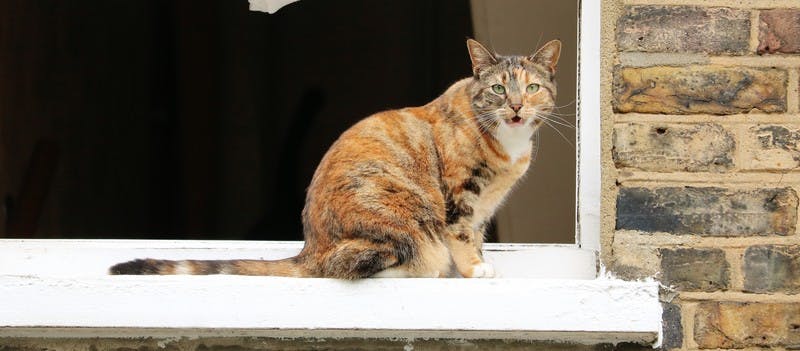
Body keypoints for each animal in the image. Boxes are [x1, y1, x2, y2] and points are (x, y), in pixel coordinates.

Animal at [111, 38, 564, 280]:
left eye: (532, 87)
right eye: (499, 89)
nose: (517, 106)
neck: (509, 144)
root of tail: (309, 250)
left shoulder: (485, 207)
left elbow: (478, 235)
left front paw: (476, 263)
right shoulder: (460, 196)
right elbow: (461, 235)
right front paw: (473, 269)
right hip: (403, 215)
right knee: (357, 264)